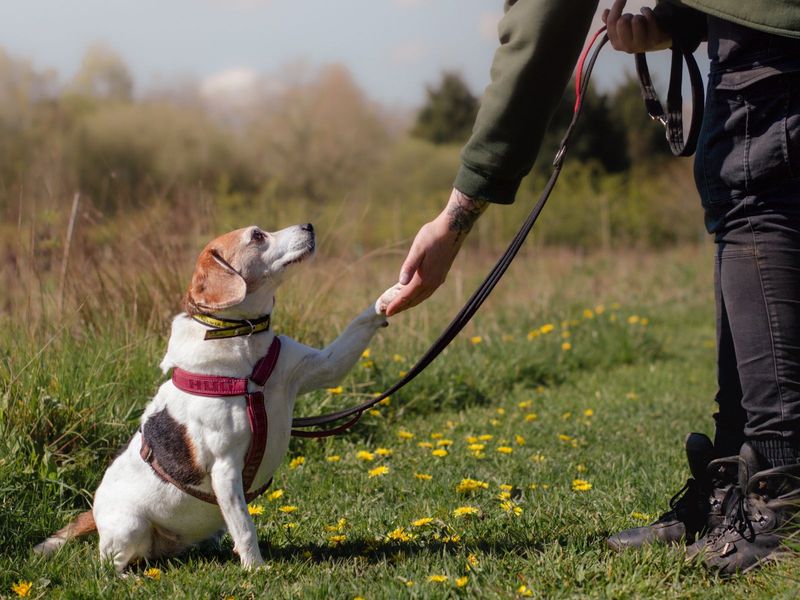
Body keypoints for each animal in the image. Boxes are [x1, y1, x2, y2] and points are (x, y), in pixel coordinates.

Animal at [35, 223, 400, 568]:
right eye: (257, 236)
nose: (309, 226)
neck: (243, 342)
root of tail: (93, 511)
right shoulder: (226, 469)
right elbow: (246, 527)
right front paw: (256, 570)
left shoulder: (323, 366)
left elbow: (359, 324)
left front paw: (393, 294)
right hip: (130, 528)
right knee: (109, 564)